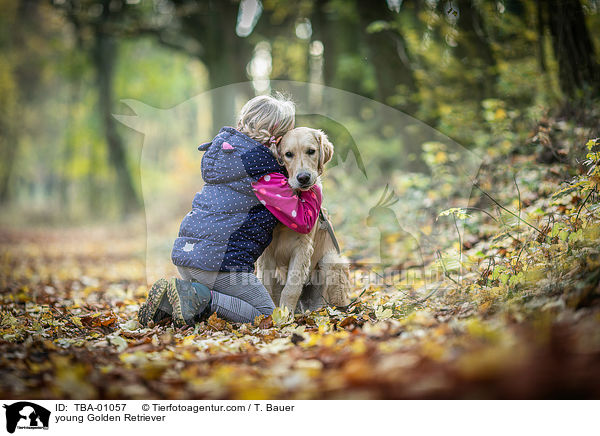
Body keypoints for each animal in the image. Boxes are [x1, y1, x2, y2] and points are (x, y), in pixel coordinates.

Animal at [256, 126, 352, 314]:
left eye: (311, 151)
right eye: (288, 154)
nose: (304, 178)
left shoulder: (302, 248)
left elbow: (291, 288)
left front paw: (285, 315)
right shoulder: (267, 253)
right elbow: (266, 287)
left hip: (332, 261)